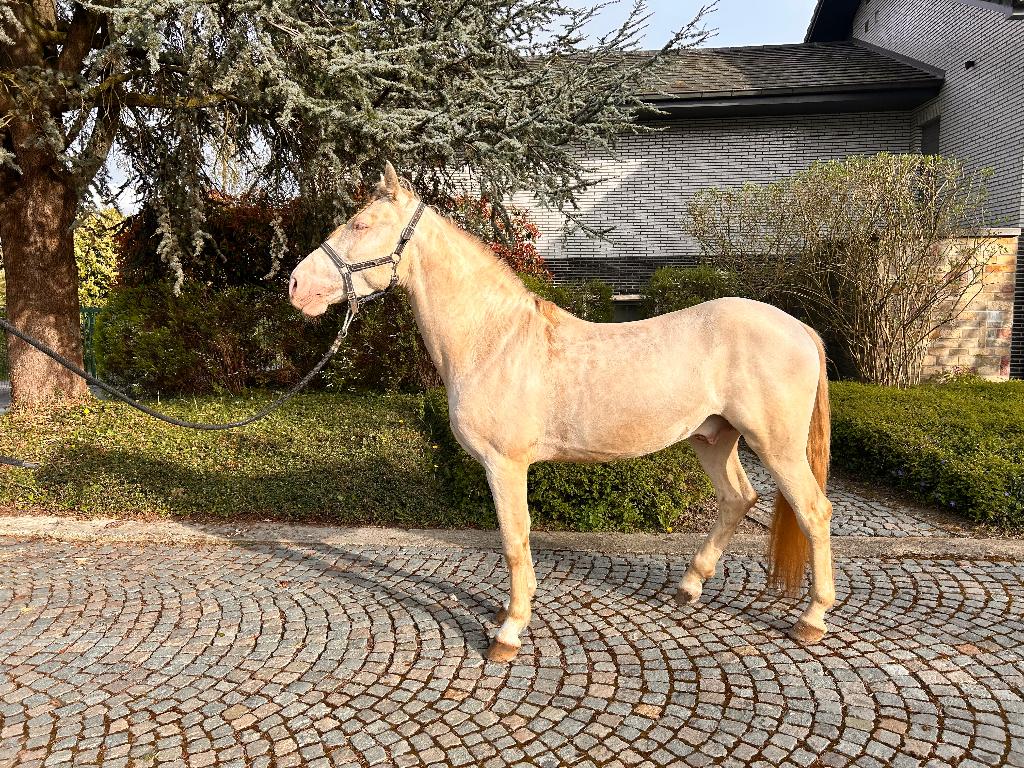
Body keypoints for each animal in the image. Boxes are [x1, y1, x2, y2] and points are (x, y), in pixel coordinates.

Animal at [289, 163, 834, 662]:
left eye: (361, 224)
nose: (297, 285)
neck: (494, 341)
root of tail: (799, 328)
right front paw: (514, 609)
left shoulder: (505, 465)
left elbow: (514, 539)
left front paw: (509, 632)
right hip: (713, 438)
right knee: (738, 499)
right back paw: (690, 586)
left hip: (776, 447)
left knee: (814, 511)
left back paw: (812, 619)